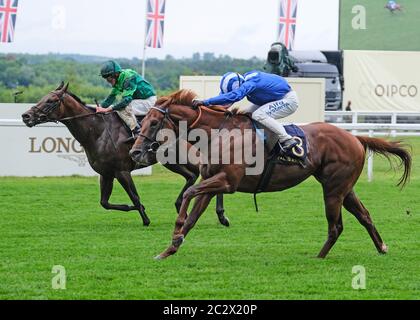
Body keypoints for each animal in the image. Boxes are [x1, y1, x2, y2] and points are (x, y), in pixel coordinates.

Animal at [22, 82, 230, 228]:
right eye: (43, 97)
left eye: (50, 101)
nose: (26, 116)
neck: (98, 131)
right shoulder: (106, 173)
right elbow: (104, 202)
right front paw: (134, 209)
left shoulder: (122, 171)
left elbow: (135, 197)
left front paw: (145, 218)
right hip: (172, 161)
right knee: (193, 176)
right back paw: (189, 208)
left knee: (204, 176)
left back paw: (219, 214)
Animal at [130, 89, 412, 258]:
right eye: (142, 121)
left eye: (153, 123)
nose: (135, 152)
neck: (218, 133)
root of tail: (355, 137)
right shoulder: (212, 182)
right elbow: (193, 216)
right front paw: (169, 248)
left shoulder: (227, 182)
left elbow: (188, 193)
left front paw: (176, 229)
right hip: (344, 187)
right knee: (364, 215)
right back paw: (381, 247)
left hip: (333, 189)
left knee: (336, 227)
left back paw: (319, 257)